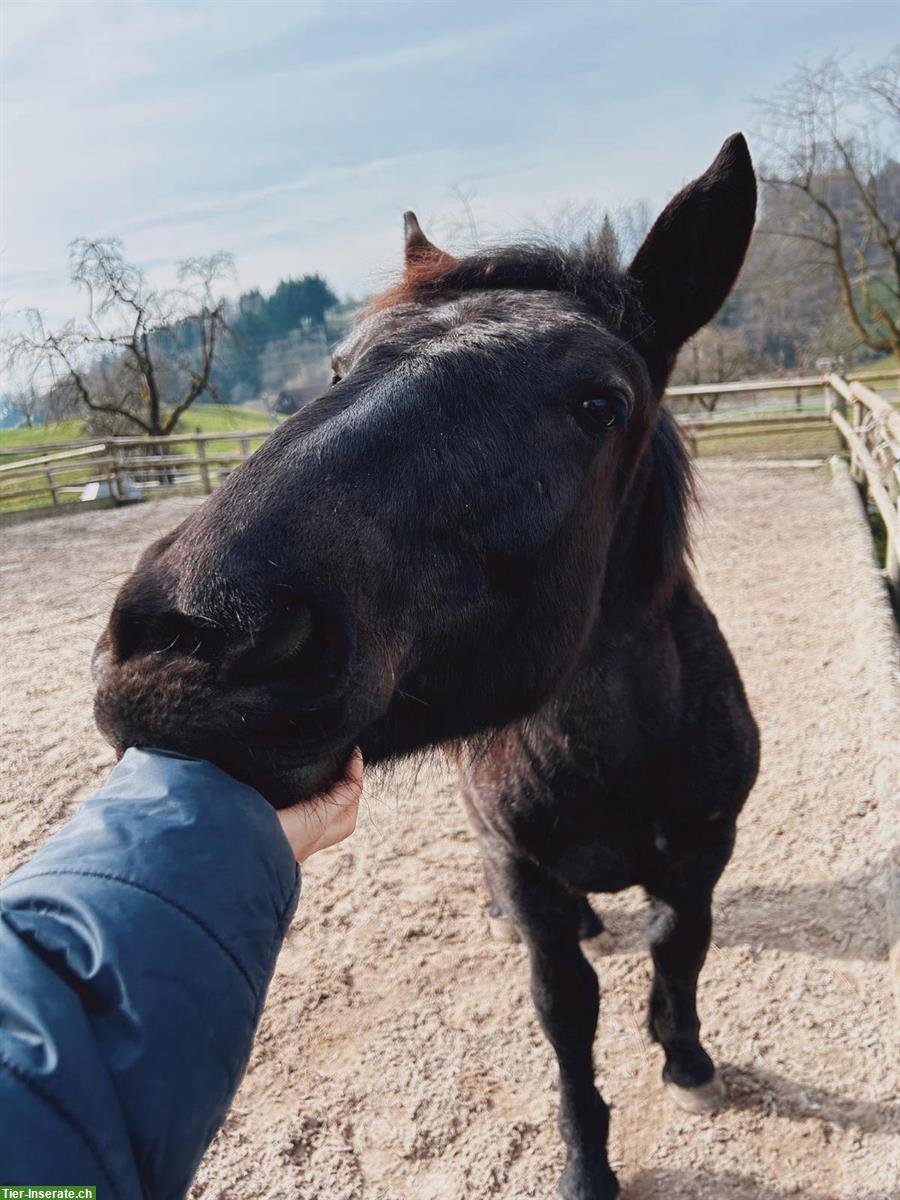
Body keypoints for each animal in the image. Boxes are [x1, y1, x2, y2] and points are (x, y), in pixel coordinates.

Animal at [95, 136, 763, 1195]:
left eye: (599, 403)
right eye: (337, 367)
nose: (180, 643)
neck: (620, 758)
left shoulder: (703, 855)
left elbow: (679, 953)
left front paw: (687, 1057)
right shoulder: (530, 879)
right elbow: (567, 1016)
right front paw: (587, 1158)